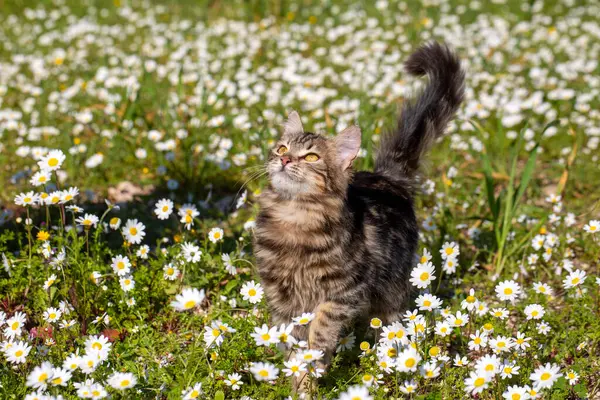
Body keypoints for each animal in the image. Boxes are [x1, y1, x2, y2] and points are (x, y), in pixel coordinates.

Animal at [253, 42, 464, 382]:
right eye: (282, 149)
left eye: (311, 157)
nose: (285, 161)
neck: (295, 217)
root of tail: (386, 176)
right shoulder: (281, 299)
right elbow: (292, 343)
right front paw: (300, 380)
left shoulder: (348, 290)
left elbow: (321, 325)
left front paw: (316, 363)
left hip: (391, 290)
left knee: (390, 323)